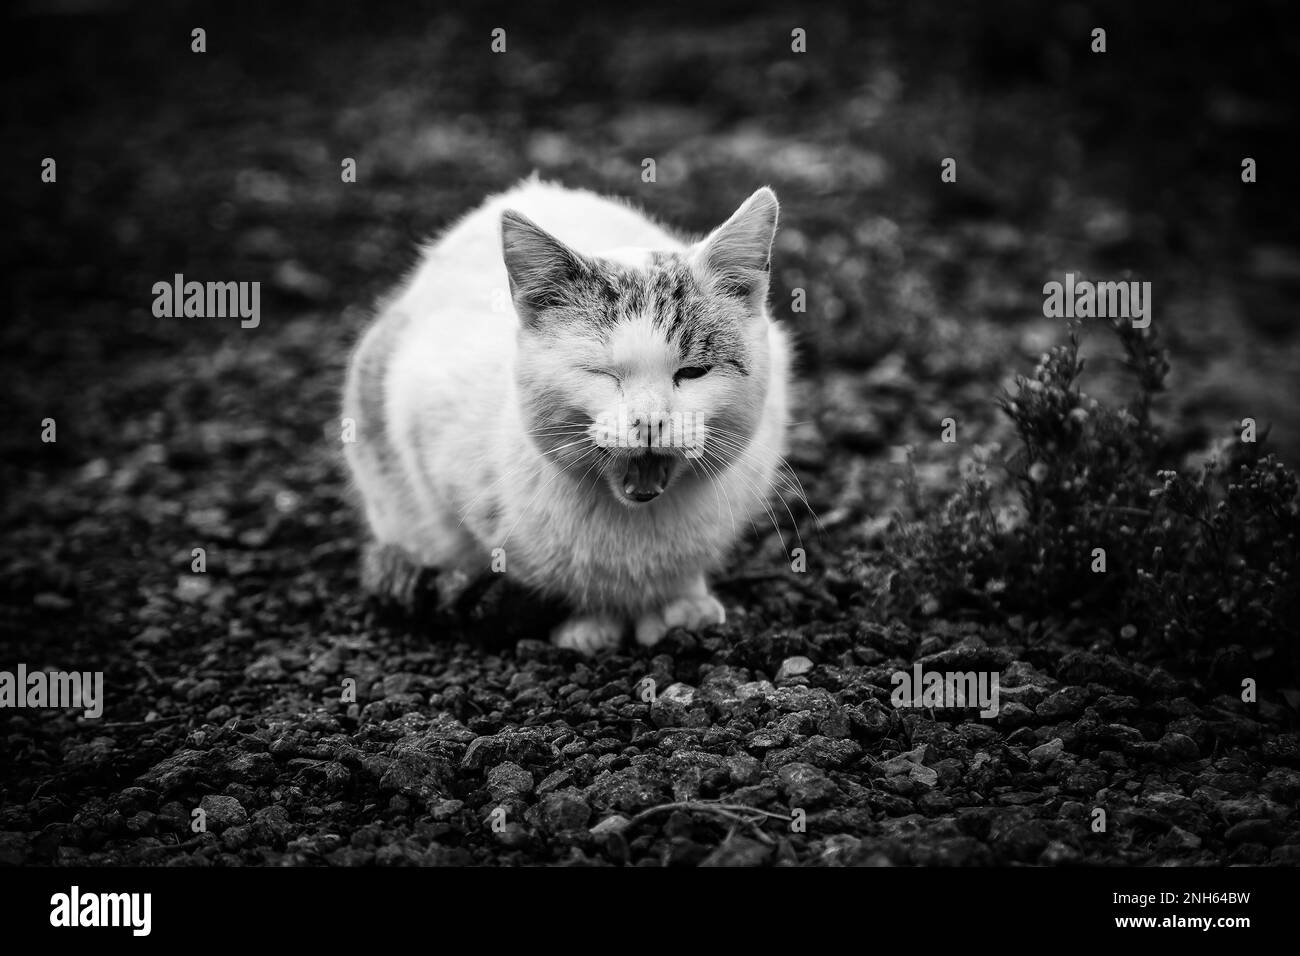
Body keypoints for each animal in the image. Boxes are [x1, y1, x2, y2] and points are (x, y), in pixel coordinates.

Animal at [345, 178, 785, 658]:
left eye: (693, 372)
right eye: (603, 373)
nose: (649, 421)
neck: (636, 525)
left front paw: (680, 604)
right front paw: (592, 621)